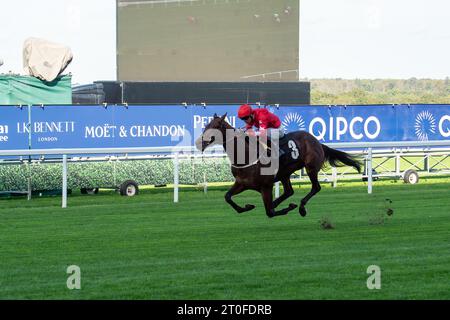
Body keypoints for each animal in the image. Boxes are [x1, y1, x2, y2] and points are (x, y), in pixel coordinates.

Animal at [194, 112, 362, 218]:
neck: (246, 156)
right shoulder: (242, 183)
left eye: (215, 126)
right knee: (289, 191)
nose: (198, 142)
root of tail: (317, 141)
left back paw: (301, 208)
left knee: (315, 187)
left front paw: (288, 207)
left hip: (311, 168)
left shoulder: (266, 186)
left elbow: (270, 212)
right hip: (285, 173)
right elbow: (227, 197)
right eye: (206, 125)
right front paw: (247, 207)